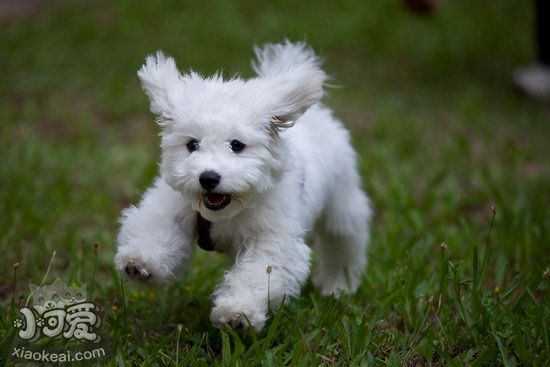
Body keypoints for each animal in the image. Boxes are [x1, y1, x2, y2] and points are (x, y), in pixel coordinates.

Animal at [116, 41, 376, 332]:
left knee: (344, 241)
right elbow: (157, 229)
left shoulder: (271, 239)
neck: (226, 212)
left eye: (237, 145)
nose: (208, 178)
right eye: (192, 144)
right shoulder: (173, 207)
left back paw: (338, 284)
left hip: (341, 202)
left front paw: (236, 313)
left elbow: (258, 274)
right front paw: (140, 262)